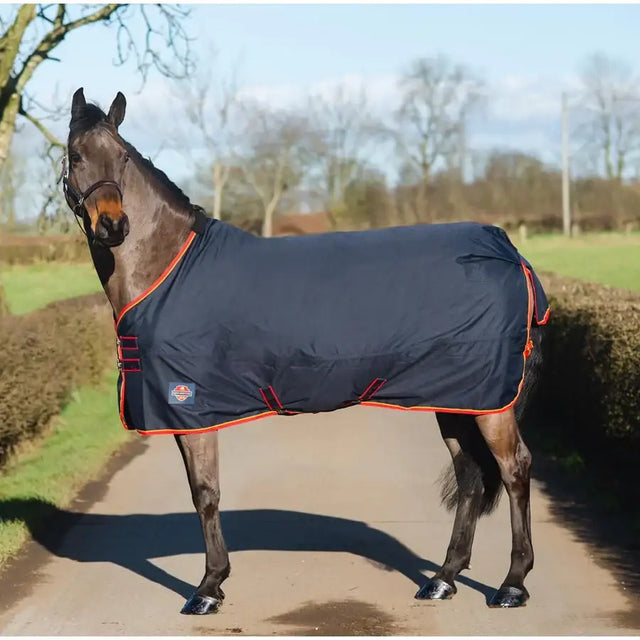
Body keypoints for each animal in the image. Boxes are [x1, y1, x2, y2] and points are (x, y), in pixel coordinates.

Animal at [62, 88, 548, 615]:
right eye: (76, 156)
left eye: (123, 157)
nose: (114, 225)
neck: (168, 267)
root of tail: (510, 254)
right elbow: (205, 492)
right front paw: (215, 580)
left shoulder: (190, 405)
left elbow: (205, 493)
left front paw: (208, 587)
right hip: (458, 397)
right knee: (470, 474)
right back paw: (443, 577)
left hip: (488, 402)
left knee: (514, 469)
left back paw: (513, 584)